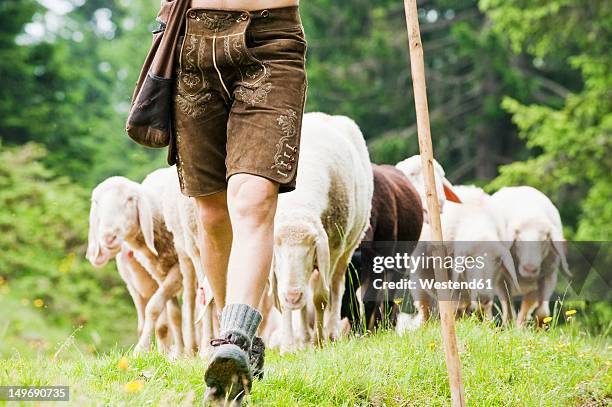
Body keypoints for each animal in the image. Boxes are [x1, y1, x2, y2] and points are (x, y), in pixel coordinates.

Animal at [88, 175, 184, 356]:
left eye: (129, 199)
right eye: (96, 202)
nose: (108, 237)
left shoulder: (178, 271)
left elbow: (153, 308)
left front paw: (141, 349)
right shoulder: (146, 282)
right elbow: (163, 322)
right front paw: (163, 354)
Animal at [272, 112, 372, 354]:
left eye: (309, 249)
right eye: (277, 249)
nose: (293, 296)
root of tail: (325, 116)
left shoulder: (332, 248)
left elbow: (320, 297)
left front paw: (319, 342)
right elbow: (283, 294)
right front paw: (289, 345)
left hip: (347, 248)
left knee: (335, 287)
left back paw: (330, 332)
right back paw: (304, 337)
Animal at [340, 164, 420, 334]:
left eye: (358, 269)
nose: (342, 310)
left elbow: (369, 299)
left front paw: (364, 330)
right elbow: (353, 302)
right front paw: (356, 330)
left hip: (399, 265)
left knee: (388, 296)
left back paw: (385, 325)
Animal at [488, 186, 568, 326]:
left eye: (544, 240)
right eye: (519, 239)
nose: (530, 268)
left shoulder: (548, 277)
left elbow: (542, 312)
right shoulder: (501, 279)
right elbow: (508, 310)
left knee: (526, 310)